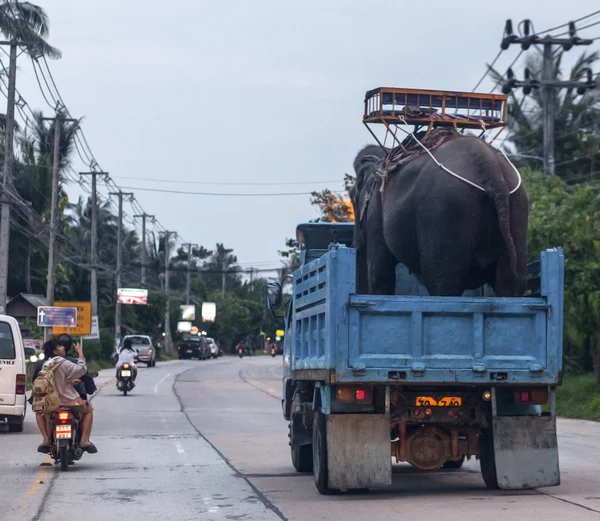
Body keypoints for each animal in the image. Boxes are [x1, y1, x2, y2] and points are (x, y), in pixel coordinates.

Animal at [350, 129, 528, 296]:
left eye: (352, 196)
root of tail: (492, 174)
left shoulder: (376, 209)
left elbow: (379, 274)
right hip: (517, 208)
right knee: (509, 284)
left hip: (444, 213)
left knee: (444, 285)